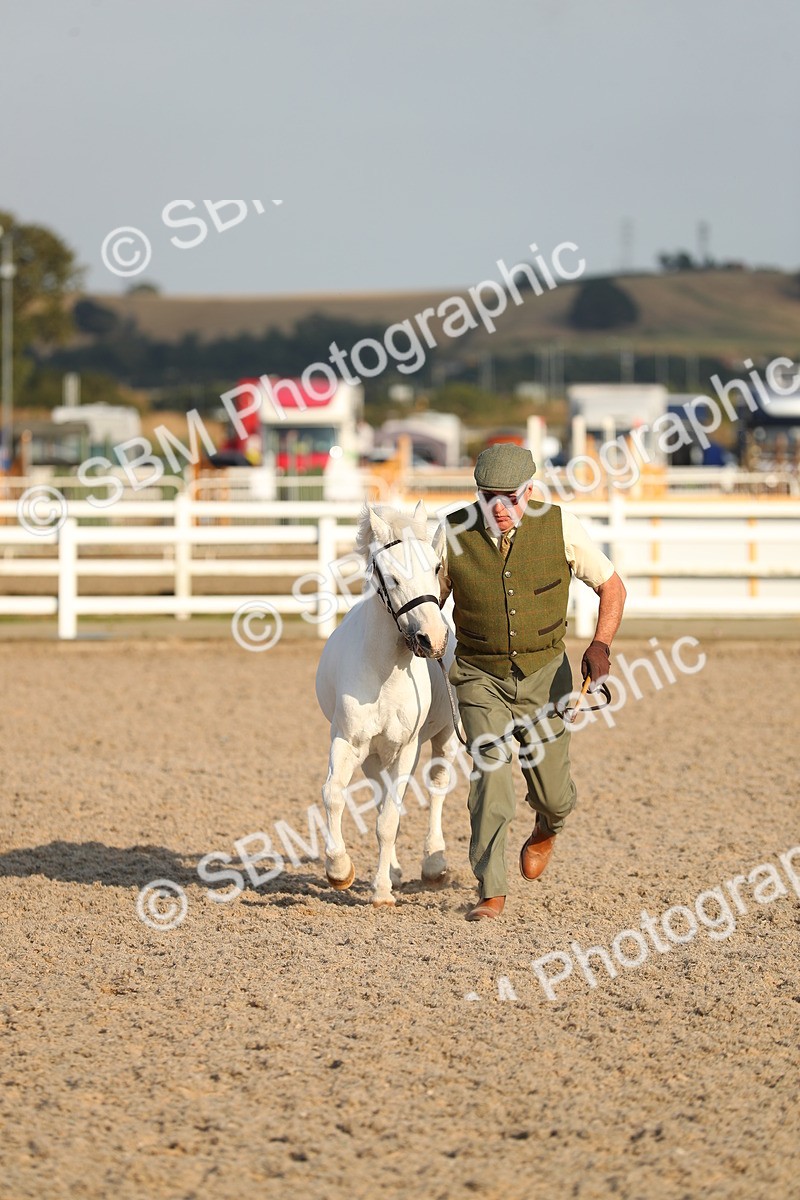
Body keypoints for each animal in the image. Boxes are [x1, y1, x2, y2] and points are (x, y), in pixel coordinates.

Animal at [315, 502, 459, 906]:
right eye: (391, 577)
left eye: (435, 568)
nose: (432, 639)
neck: (383, 673)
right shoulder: (348, 742)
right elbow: (334, 796)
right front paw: (339, 870)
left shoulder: (406, 748)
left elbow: (389, 820)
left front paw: (381, 890)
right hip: (375, 756)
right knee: (381, 795)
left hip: (443, 738)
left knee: (437, 786)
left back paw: (433, 863)